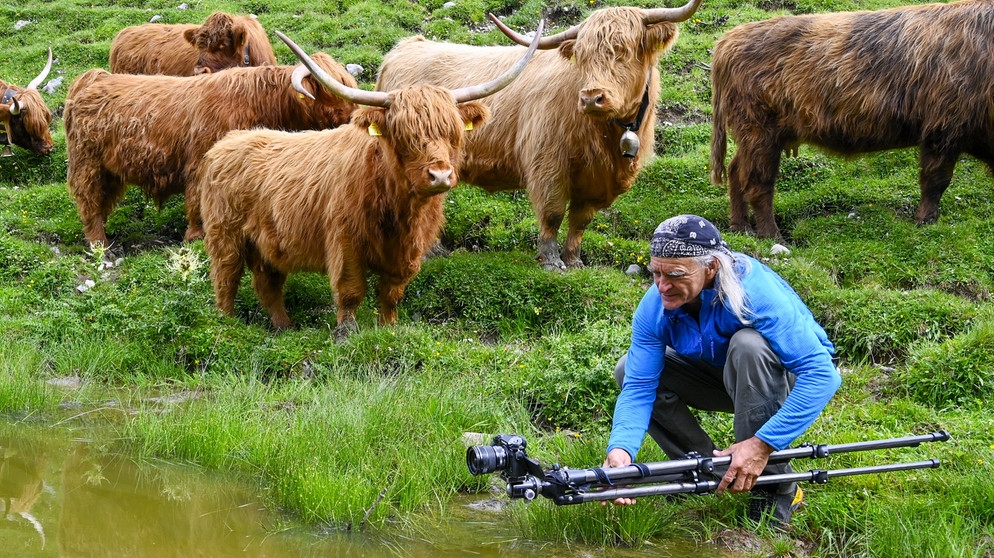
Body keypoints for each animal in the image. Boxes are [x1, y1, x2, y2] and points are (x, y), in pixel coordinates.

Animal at [63, 53, 356, 248]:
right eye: (332, 92)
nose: (354, 115)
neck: (257, 104)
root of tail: (93, 77)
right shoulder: (200, 165)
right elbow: (197, 203)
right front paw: (196, 237)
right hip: (88, 163)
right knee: (88, 200)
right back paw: (99, 243)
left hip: (111, 171)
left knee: (102, 202)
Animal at [198, 28, 540, 340]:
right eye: (404, 135)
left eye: (453, 133)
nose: (440, 175)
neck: (400, 209)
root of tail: (225, 143)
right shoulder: (345, 243)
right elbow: (351, 290)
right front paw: (345, 333)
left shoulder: (407, 253)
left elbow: (391, 294)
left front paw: (388, 328)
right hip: (225, 236)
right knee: (225, 280)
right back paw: (226, 326)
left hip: (265, 244)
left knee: (267, 284)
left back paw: (284, 327)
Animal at [376, 0, 700, 272]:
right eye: (582, 56)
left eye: (623, 50)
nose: (591, 97)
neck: (607, 134)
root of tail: (404, 48)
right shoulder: (548, 164)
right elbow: (553, 212)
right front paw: (552, 262)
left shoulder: (597, 180)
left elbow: (580, 221)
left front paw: (575, 261)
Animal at [708, 0, 992, 238]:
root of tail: (727, 41)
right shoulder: (943, 130)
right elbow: (936, 181)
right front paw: (926, 221)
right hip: (760, 132)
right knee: (758, 183)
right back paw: (772, 235)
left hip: (757, 135)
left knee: (736, 171)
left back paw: (741, 227)